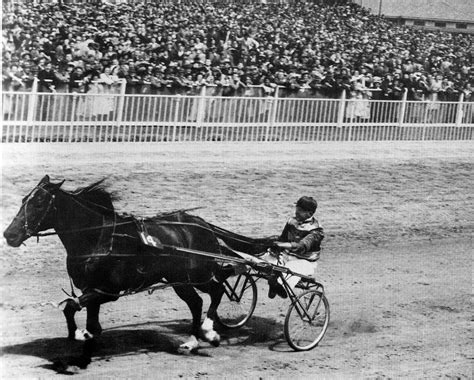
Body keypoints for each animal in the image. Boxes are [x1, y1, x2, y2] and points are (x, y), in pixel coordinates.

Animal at [3, 176, 266, 368]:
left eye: (38, 203)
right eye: (24, 199)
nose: (9, 234)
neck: (97, 239)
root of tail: (201, 223)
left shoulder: (107, 291)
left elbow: (70, 306)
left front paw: (79, 335)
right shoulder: (92, 290)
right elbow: (88, 321)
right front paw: (85, 344)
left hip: (198, 273)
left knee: (217, 290)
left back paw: (209, 333)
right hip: (180, 280)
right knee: (196, 302)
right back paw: (191, 342)